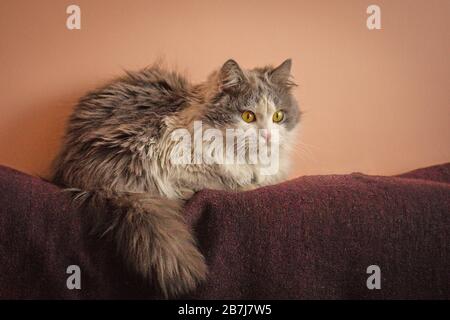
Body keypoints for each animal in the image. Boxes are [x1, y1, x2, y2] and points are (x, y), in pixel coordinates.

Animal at [51, 59, 300, 298]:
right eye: (248, 116)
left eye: (278, 116)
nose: (267, 136)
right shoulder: (175, 158)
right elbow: (220, 182)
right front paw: (243, 185)